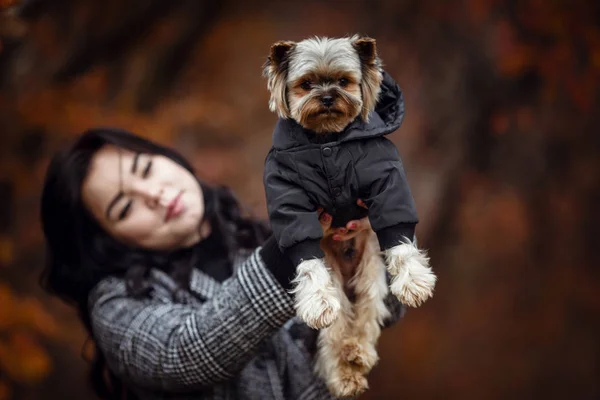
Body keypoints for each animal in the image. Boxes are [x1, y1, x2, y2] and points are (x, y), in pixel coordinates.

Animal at [262, 36, 436, 398]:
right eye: (306, 84)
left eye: (344, 81)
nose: (328, 97)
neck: (328, 141)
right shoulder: (288, 196)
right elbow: (306, 257)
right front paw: (317, 302)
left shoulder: (386, 177)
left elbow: (399, 235)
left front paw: (414, 280)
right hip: (337, 281)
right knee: (337, 327)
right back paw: (345, 373)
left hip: (370, 272)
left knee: (366, 315)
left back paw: (358, 355)